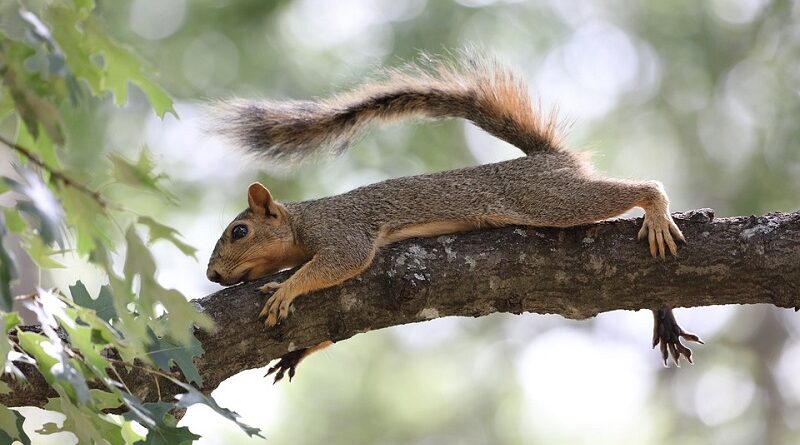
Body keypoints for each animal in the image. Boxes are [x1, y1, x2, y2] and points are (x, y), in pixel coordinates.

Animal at [206, 53, 700, 382]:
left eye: (239, 231)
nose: (212, 275)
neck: (301, 222)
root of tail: (548, 159)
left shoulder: (343, 230)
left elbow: (343, 262)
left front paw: (286, 289)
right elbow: (336, 328)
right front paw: (297, 353)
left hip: (549, 198)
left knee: (626, 193)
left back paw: (655, 208)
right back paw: (664, 315)